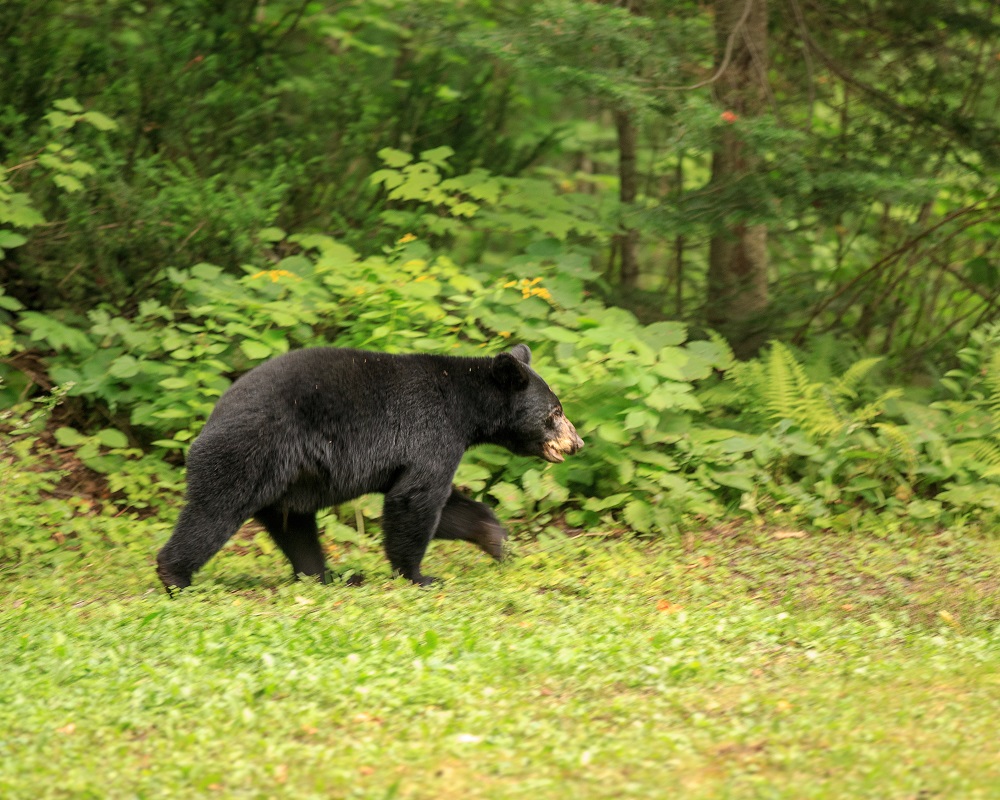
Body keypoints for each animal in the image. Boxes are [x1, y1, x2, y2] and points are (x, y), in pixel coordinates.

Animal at [152, 340, 584, 592]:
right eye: (555, 412)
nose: (577, 442)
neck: (465, 405)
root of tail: (212, 416)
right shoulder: (431, 432)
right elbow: (416, 499)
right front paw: (419, 575)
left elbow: (444, 506)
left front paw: (496, 542)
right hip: (250, 449)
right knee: (213, 511)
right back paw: (175, 575)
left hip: (287, 481)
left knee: (295, 529)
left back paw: (328, 577)